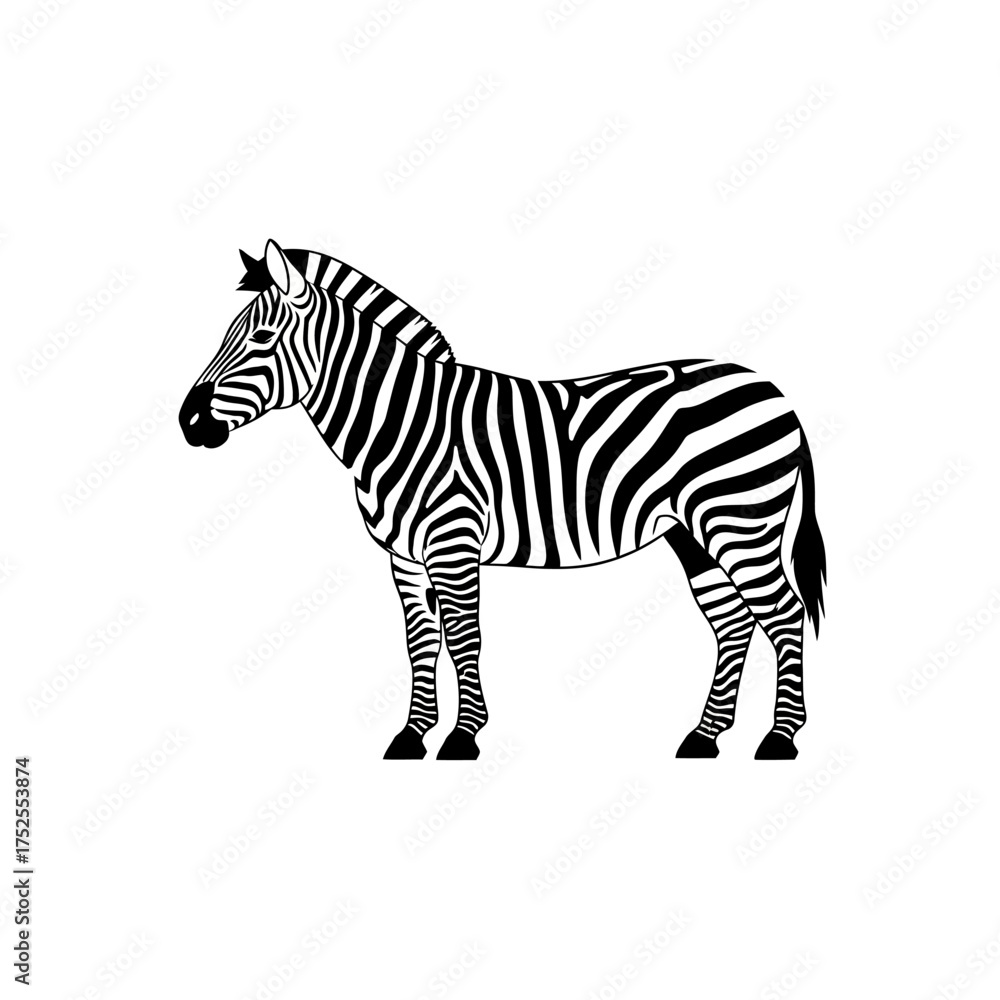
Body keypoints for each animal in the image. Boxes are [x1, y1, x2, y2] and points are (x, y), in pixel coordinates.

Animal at [181, 240, 826, 761]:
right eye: (226, 333)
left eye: (261, 337)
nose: (188, 423)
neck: (401, 424)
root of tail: (773, 389)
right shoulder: (404, 557)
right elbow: (421, 642)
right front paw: (413, 735)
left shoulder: (454, 541)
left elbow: (463, 634)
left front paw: (463, 736)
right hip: (693, 533)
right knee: (733, 623)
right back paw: (704, 738)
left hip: (741, 520)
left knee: (783, 614)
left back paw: (779, 739)